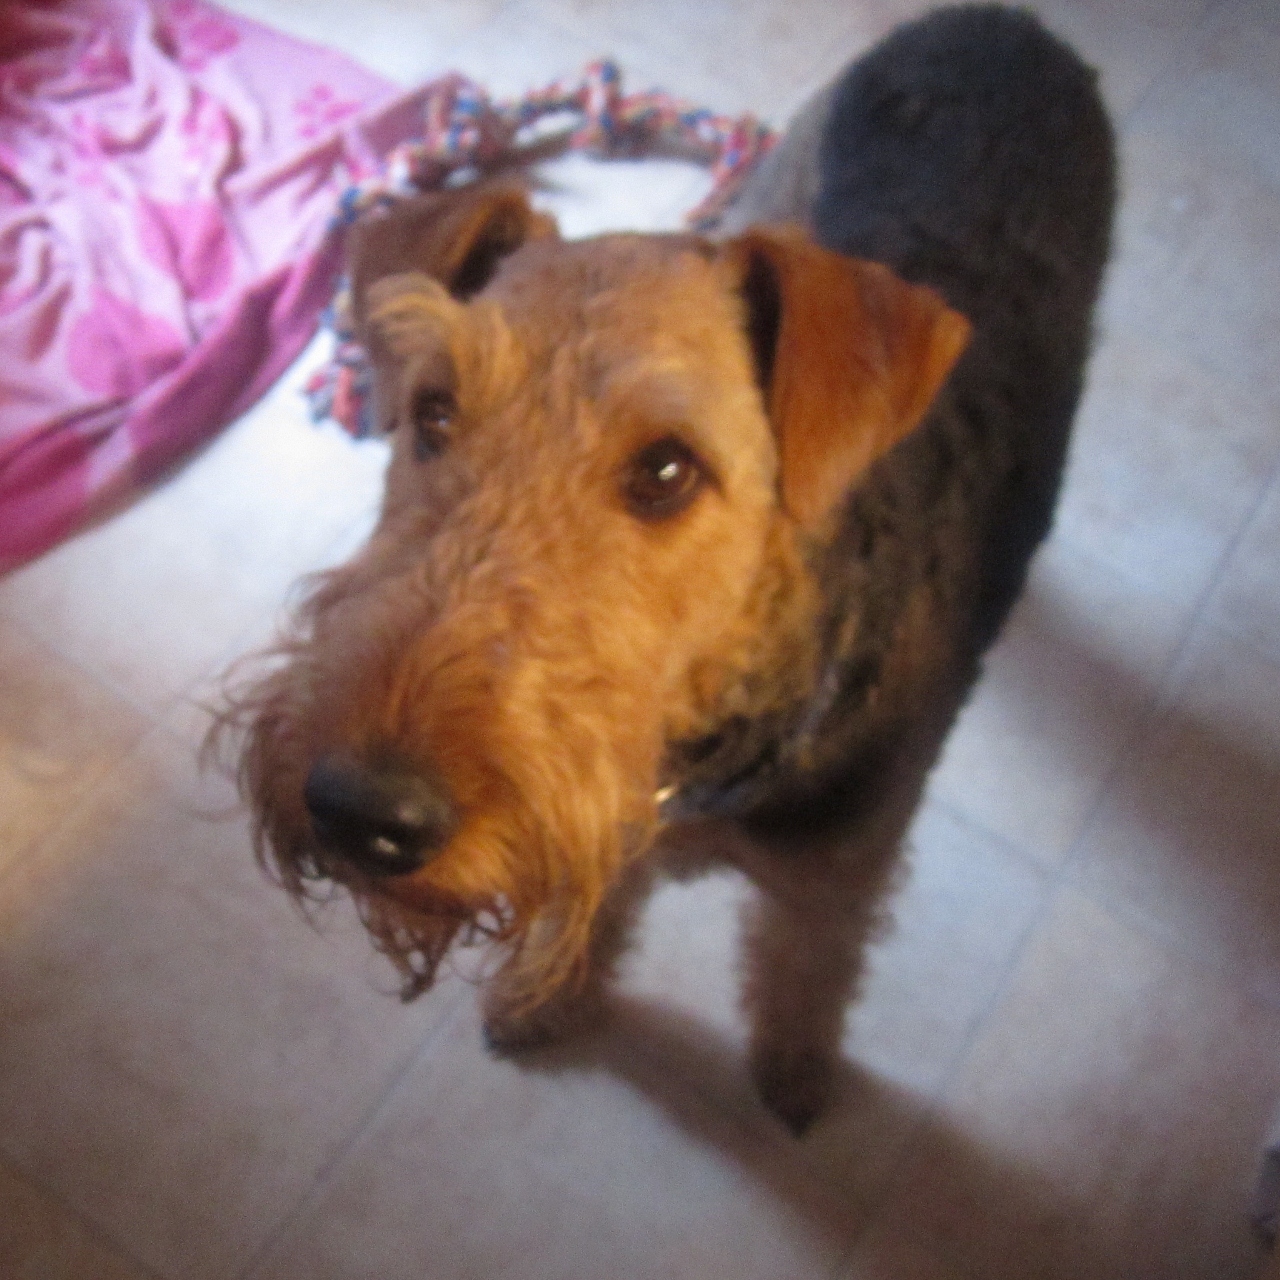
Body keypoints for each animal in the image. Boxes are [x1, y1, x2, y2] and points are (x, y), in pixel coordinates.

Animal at [217, 5, 1115, 1134]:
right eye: (433, 411)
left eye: (667, 469)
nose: (359, 810)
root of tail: (1004, 23)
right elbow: (598, 913)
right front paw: (540, 1000)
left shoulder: (837, 877)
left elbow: (805, 970)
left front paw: (792, 1076)